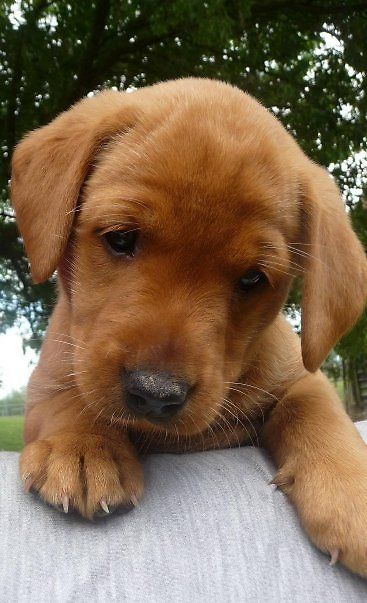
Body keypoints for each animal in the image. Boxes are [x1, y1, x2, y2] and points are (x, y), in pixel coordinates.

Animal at [10, 78, 367, 580]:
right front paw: (82, 447)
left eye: (252, 279)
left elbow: (315, 412)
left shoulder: (300, 377)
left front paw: (352, 492)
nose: (155, 393)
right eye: (121, 239)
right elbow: (68, 399)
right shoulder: (48, 377)